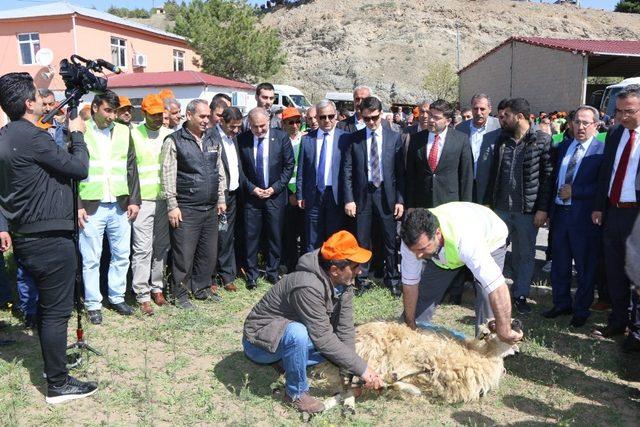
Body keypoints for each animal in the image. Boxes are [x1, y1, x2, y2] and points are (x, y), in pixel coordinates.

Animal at [310, 320, 520, 412]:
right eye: (495, 324)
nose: (517, 322)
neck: (483, 355)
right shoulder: (425, 359)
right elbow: (398, 378)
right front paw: (395, 383)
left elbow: (413, 388)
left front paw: (397, 385)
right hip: (370, 355)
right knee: (350, 382)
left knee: (348, 385)